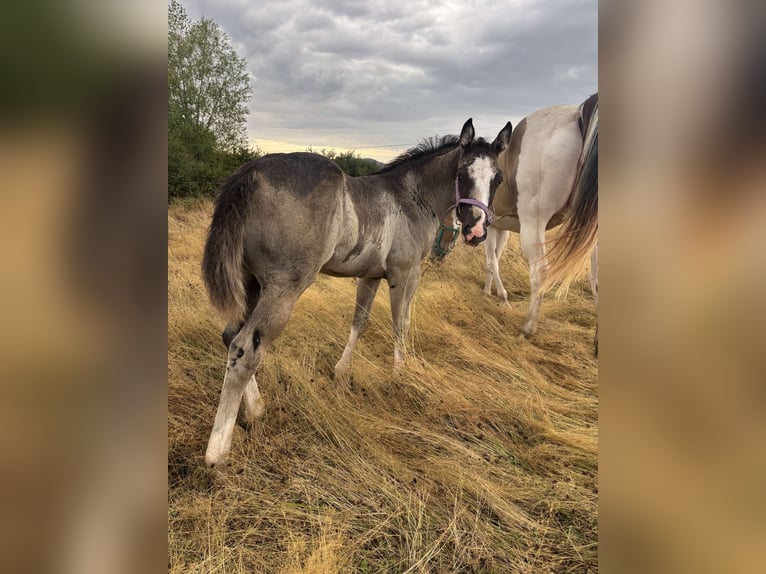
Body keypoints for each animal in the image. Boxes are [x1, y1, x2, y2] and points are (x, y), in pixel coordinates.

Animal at [201, 119, 512, 467]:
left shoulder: (370, 276)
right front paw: (399, 373)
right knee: (246, 349)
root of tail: (251, 174)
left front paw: (341, 370)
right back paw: (218, 451)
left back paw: (255, 409)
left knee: (231, 336)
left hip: (252, 284)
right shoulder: (405, 275)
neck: (412, 198)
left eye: (497, 178)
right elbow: (400, 323)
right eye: (461, 174)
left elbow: (359, 321)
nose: (476, 230)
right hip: (282, 290)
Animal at [435, 95, 598, 351]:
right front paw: (488, 291)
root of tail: (578, 114)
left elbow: (492, 262)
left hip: (534, 226)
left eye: (441, 229)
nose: (435, 260)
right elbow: (495, 260)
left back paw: (528, 327)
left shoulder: (490, 228)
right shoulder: (500, 229)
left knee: (540, 271)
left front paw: (503, 298)